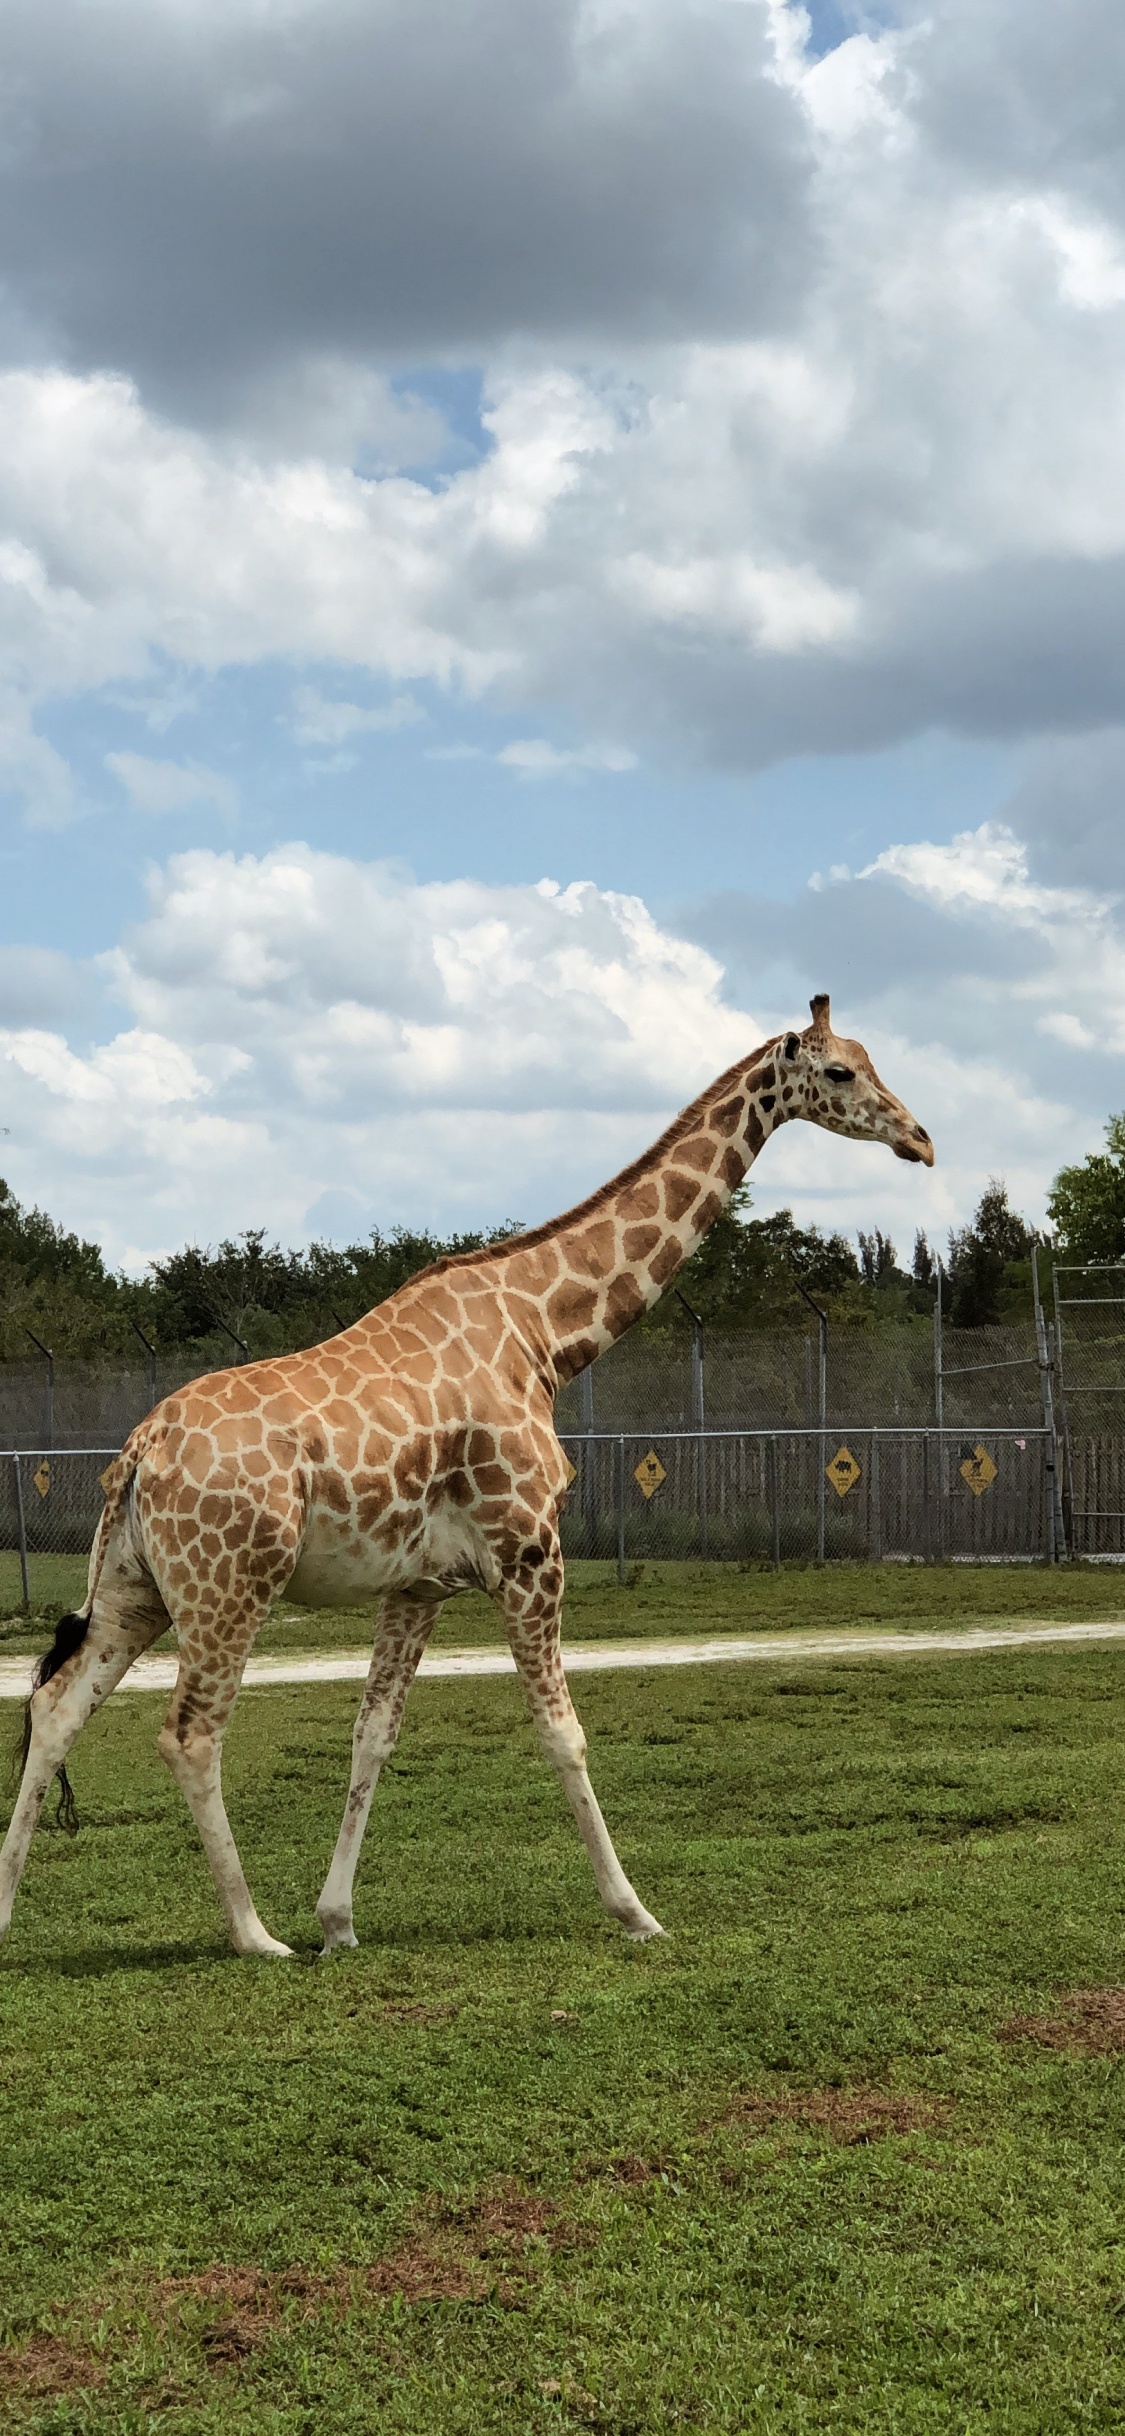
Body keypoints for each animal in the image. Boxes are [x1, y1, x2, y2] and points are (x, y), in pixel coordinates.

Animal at [0, 995, 932, 1960]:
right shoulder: (528, 1552)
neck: (545, 1334)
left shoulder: (419, 1584)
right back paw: (254, 1934)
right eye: (838, 1072)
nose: (921, 1140)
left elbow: (372, 1735)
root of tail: (139, 1451)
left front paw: (338, 1921)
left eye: (871, 1060)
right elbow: (562, 1733)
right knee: (189, 1737)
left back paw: (5, 1916)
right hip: (228, 1588)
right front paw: (634, 1911)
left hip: (134, 1587)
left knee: (56, 1709)